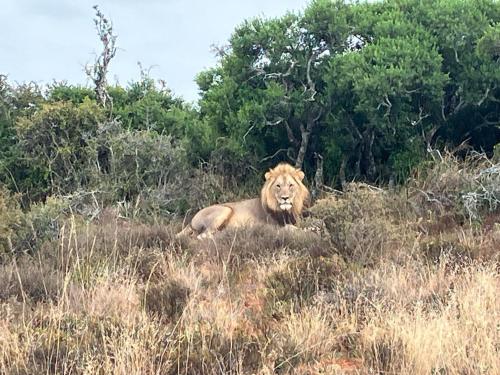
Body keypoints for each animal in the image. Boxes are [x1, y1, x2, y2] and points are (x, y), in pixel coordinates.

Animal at [176, 163, 308, 239]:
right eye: (278, 186)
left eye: (291, 185)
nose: (285, 198)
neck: (286, 211)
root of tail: (191, 221)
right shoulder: (270, 227)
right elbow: (290, 228)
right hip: (225, 209)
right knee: (202, 236)